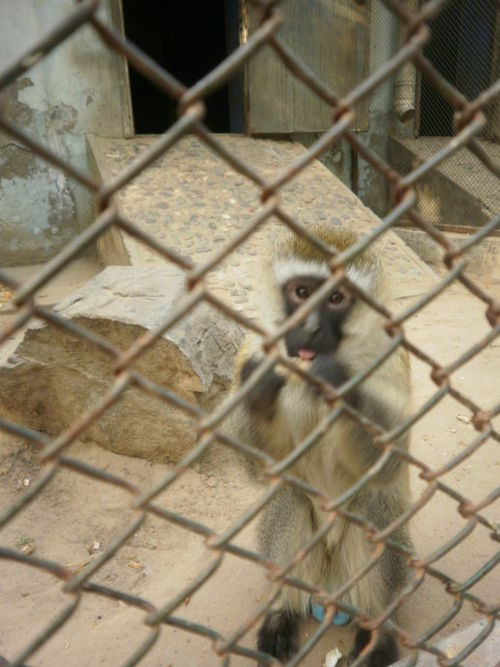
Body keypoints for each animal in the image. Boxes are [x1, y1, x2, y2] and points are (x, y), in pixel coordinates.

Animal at [229, 226, 412, 667]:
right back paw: (283, 613)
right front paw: (259, 393)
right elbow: (261, 468)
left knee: (372, 507)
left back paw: (377, 633)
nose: (310, 329)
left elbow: (390, 465)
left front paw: (341, 385)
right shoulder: (254, 346)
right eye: (301, 292)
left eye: (335, 299)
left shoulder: (390, 350)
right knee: (290, 499)